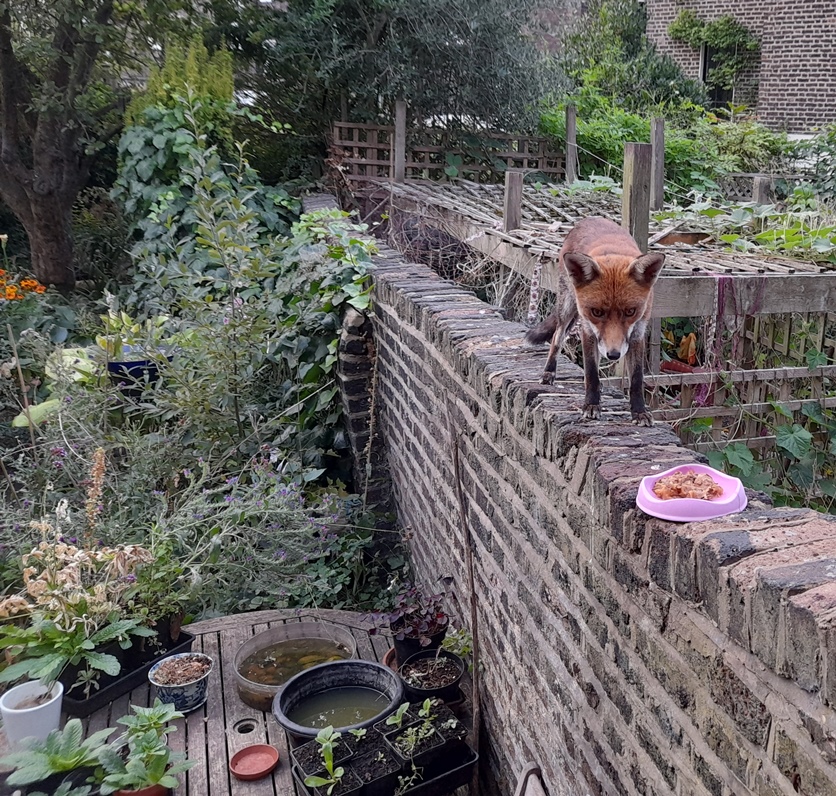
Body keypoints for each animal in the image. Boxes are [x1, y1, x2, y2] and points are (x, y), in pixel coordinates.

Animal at [526, 217, 665, 427]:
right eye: (597, 312)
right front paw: (591, 405)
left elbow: (637, 379)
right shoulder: (588, 331)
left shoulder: (637, 333)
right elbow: (591, 373)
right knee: (557, 337)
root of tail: (591, 218)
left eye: (630, 311)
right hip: (568, 309)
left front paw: (639, 412)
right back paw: (549, 372)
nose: (614, 355)